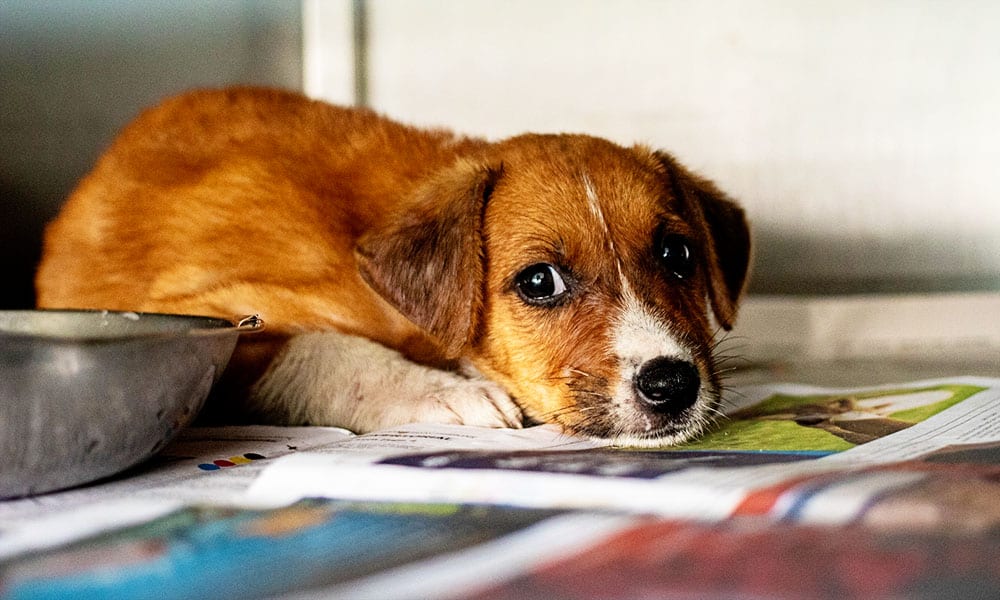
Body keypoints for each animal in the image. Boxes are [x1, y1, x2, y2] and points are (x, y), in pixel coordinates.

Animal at [35, 86, 752, 448]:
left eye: (678, 255)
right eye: (539, 281)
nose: (672, 385)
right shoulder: (216, 314)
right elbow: (326, 349)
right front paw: (446, 393)